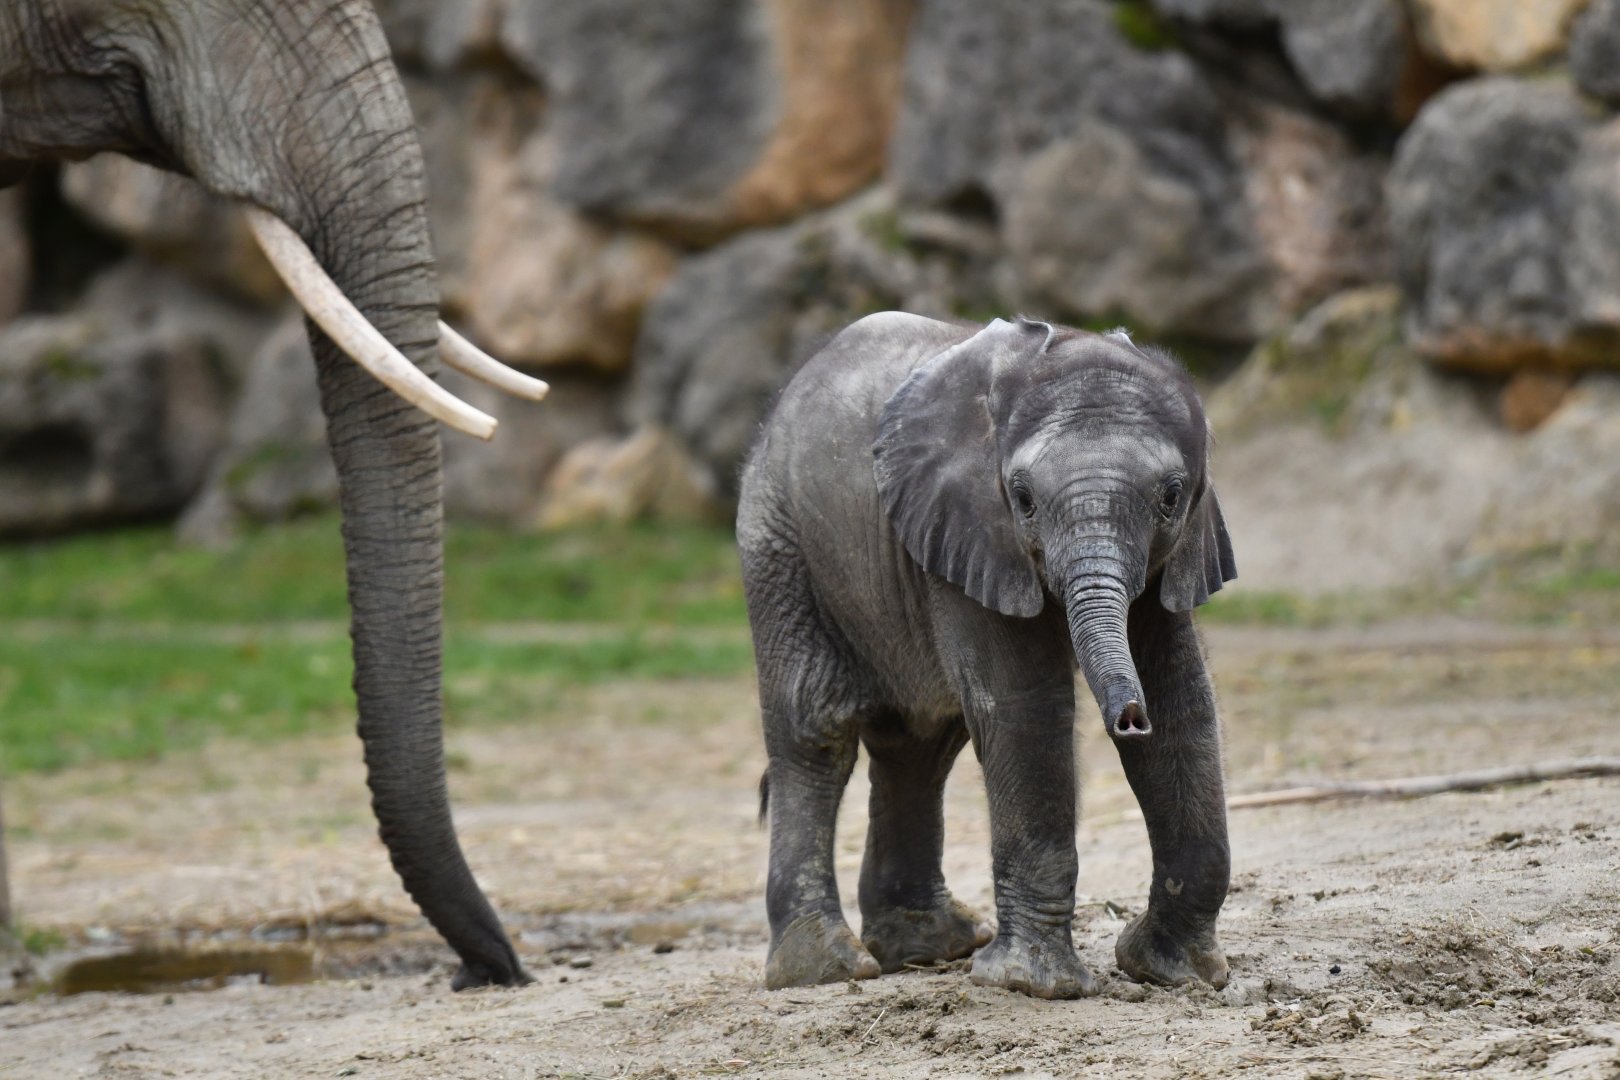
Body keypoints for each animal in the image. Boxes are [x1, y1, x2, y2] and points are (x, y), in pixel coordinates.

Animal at [738, 313, 1237, 999]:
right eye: (1022, 498)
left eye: (1171, 495)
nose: (1128, 718)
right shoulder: (968, 529)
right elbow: (1025, 706)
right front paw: (1034, 986)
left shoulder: (1175, 551)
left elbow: (1182, 700)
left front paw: (1173, 973)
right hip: (779, 541)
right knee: (816, 730)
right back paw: (825, 969)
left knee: (920, 744)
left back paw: (930, 947)